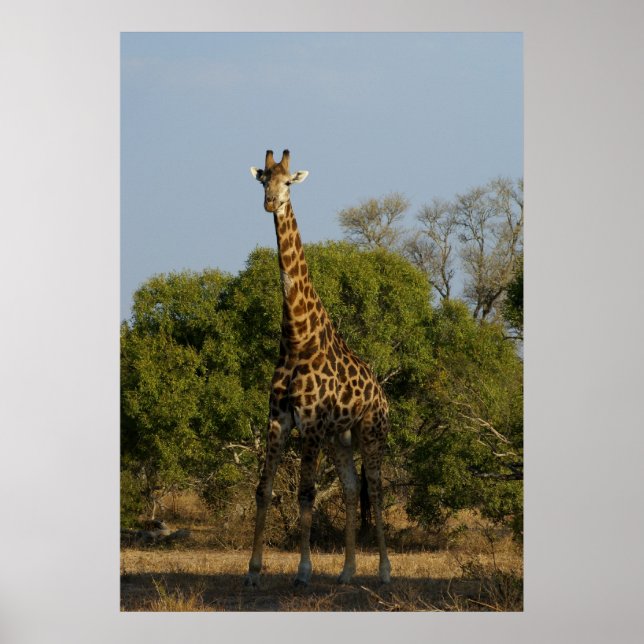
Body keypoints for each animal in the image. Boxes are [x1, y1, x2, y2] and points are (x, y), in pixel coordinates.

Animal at [245, 149, 391, 588]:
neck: (296, 337)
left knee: (377, 490)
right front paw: (253, 571)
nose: (270, 203)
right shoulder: (278, 418)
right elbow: (264, 489)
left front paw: (304, 571)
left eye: (288, 182)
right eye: (263, 180)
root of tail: (382, 393)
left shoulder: (308, 422)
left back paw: (384, 571)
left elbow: (306, 492)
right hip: (340, 437)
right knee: (350, 489)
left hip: (371, 431)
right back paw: (346, 572)